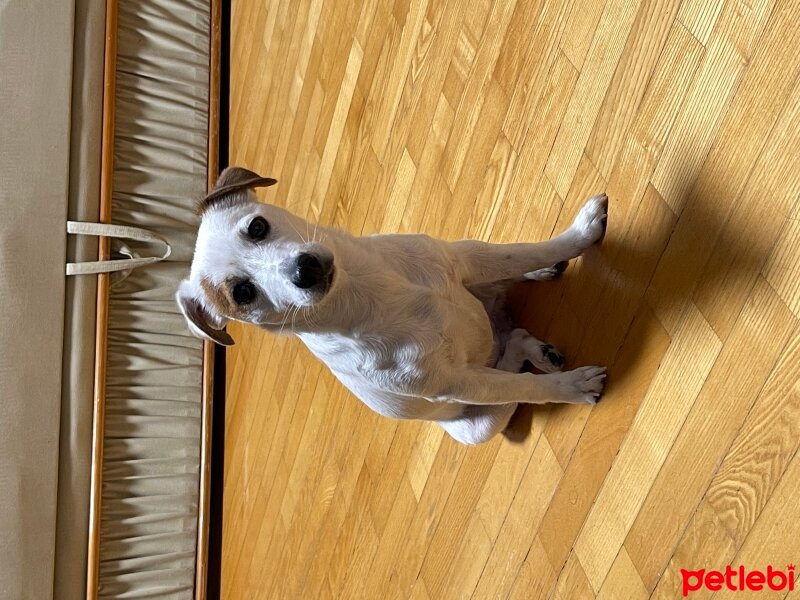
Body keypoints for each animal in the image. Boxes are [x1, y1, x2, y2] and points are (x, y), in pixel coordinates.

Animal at [178, 166, 608, 442]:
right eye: (243, 293)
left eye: (256, 227)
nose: (305, 270)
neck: (368, 294)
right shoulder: (458, 383)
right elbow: (529, 388)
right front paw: (572, 386)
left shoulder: (464, 259)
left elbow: (522, 252)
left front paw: (582, 233)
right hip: (477, 428)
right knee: (512, 359)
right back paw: (534, 352)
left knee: (511, 278)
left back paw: (539, 276)